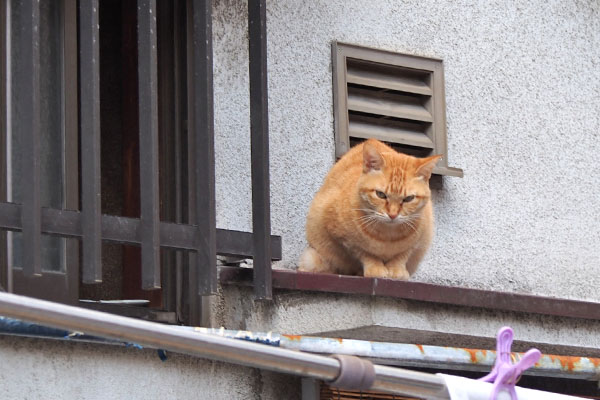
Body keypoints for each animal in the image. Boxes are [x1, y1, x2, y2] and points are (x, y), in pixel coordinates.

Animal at [300, 139, 440, 280]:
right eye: (381, 194)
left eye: (408, 199)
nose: (392, 215)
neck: (388, 236)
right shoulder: (345, 239)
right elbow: (365, 253)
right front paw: (375, 267)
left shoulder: (419, 240)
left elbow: (402, 255)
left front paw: (396, 269)